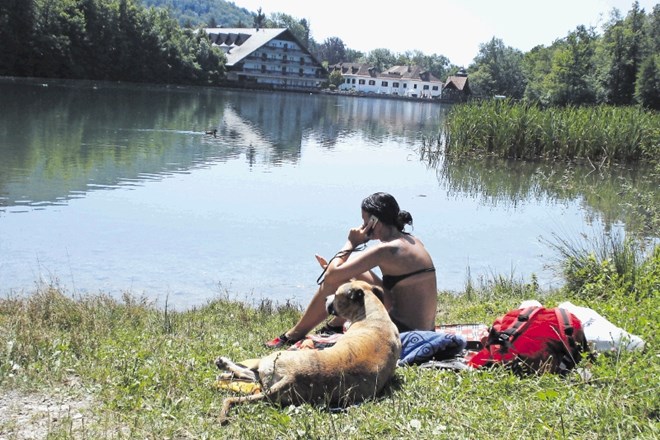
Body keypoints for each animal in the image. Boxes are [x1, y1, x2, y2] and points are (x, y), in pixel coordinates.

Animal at [217, 280, 402, 424]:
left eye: (336, 294)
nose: (325, 297)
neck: (372, 313)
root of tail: (292, 376)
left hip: (272, 359)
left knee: (249, 372)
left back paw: (223, 365)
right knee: (250, 375)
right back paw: (226, 371)